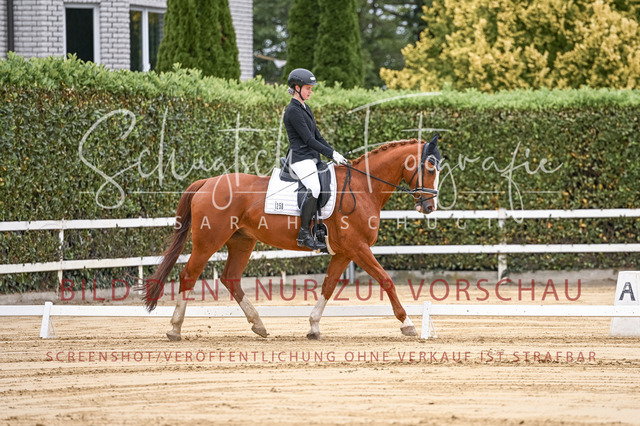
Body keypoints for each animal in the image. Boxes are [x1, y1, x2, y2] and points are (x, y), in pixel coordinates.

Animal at [142, 136, 442, 341]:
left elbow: (328, 287)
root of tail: (207, 182)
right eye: (430, 167)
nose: (429, 207)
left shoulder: (345, 252)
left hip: (242, 241)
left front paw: (314, 326)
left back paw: (259, 325)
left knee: (231, 279)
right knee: (189, 275)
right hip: (208, 241)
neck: (361, 188)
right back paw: (175, 328)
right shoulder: (358, 248)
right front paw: (407, 323)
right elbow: (386, 280)